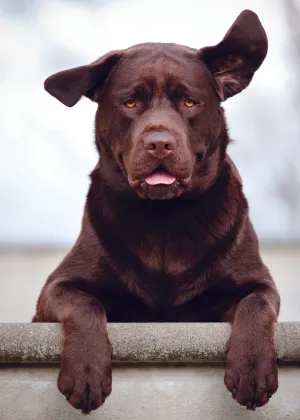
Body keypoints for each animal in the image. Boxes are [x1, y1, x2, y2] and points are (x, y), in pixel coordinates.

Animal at [34, 9, 280, 414]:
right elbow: (85, 303)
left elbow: (257, 304)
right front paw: (86, 372)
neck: (165, 220)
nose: (160, 143)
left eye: (190, 103)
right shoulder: (55, 289)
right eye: (131, 103)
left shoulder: (258, 283)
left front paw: (254, 369)